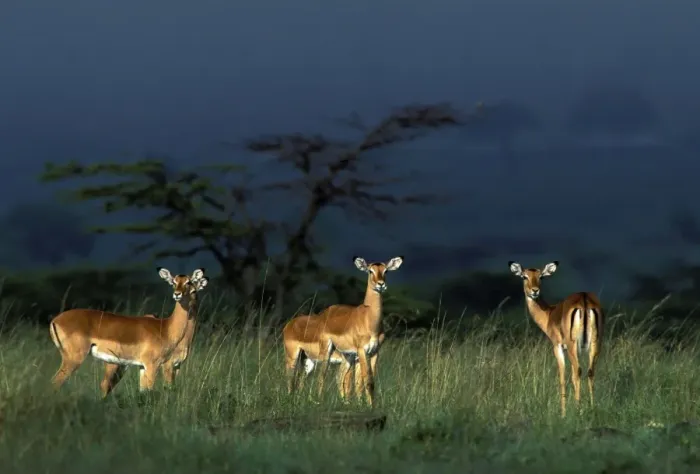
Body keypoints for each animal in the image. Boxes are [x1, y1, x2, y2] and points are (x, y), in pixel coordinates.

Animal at [49, 267, 208, 397]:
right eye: (173, 282)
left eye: (189, 283)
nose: (177, 294)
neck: (166, 329)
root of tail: (55, 320)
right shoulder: (155, 365)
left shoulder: (148, 367)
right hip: (75, 359)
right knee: (55, 383)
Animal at [283, 256, 402, 407]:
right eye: (370, 271)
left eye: (386, 271)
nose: (380, 284)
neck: (368, 320)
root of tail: (289, 325)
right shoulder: (361, 351)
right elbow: (365, 381)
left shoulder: (374, 352)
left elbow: (365, 383)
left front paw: (368, 405)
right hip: (305, 355)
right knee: (308, 377)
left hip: (313, 361)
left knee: (305, 379)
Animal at [508, 261, 603, 417]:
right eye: (524, 276)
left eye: (541, 277)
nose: (534, 291)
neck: (549, 314)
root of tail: (584, 299)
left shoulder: (558, 347)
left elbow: (562, 377)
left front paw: (563, 413)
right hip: (595, 344)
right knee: (590, 372)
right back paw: (592, 407)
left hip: (572, 346)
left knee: (578, 371)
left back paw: (578, 409)